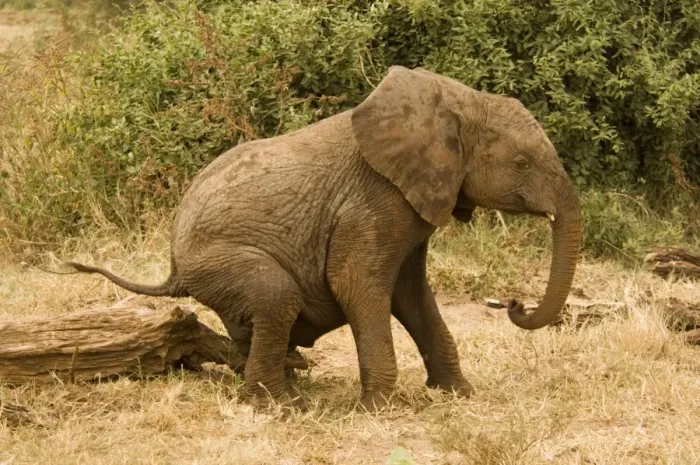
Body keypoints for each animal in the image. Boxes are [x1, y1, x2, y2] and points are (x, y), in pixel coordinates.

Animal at [67, 66, 582, 410]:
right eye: (521, 164)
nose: (513, 303)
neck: (450, 105)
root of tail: (173, 266)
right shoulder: (373, 203)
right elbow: (358, 284)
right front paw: (378, 410)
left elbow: (411, 295)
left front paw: (459, 395)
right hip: (218, 261)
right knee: (276, 296)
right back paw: (279, 405)